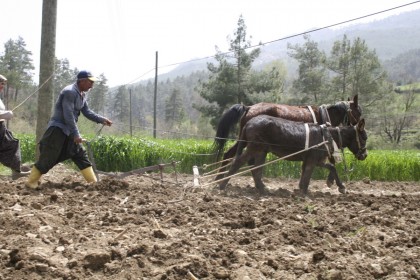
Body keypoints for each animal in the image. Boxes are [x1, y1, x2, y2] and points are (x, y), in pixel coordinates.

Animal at [213, 95, 360, 180]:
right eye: (358, 111)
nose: (360, 127)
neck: (323, 115)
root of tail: (248, 107)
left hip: (244, 140)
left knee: (229, 155)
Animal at [217, 114, 368, 195]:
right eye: (364, 138)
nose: (365, 156)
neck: (327, 135)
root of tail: (249, 122)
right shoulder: (314, 160)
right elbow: (317, 172)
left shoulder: (313, 160)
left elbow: (325, 168)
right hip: (254, 148)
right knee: (238, 163)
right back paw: (222, 186)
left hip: (261, 151)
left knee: (256, 169)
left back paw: (263, 189)